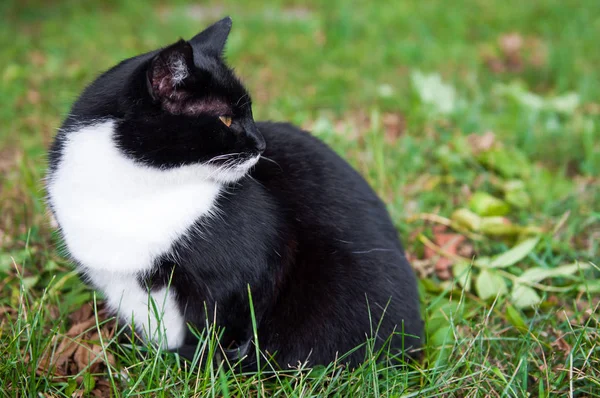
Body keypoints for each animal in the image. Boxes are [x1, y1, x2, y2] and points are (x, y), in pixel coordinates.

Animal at [45, 16, 422, 370]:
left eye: (250, 112)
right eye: (225, 119)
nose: (261, 144)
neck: (137, 187)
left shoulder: (246, 270)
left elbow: (214, 327)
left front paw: (191, 363)